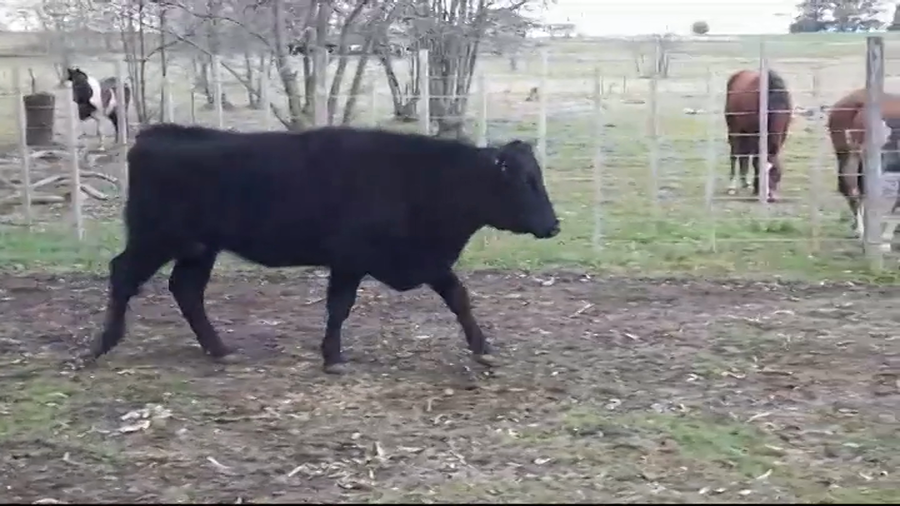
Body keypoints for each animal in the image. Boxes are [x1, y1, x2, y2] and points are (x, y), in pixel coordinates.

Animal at [85, 124, 561, 375]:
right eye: (524, 182)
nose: (553, 225)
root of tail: (155, 134)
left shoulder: (425, 260)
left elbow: (459, 297)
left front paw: (482, 347)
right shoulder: (352, 259)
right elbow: (339, 306)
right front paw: (332, 357)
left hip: (199, 248)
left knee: (186, 289)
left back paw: (219, 348)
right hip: (155, 237)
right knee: (123, 274)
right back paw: (103, 344)